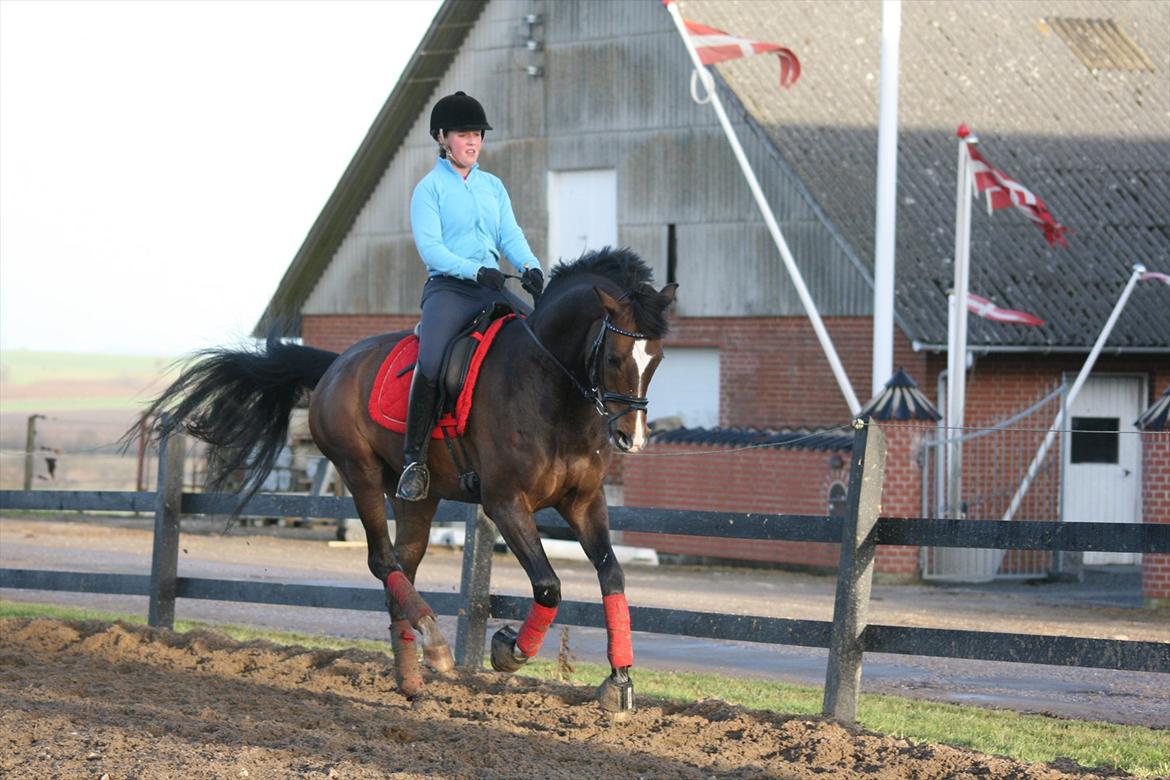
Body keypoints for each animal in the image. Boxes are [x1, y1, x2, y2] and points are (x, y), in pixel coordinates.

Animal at [139, 249, 678, 715]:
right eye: (615, 357)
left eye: (657, 359)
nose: (631, 438)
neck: (551, 390)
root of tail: (337, 363)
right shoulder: (505, 503)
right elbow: (548, 586)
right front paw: (510, 650)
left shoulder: (585, 503)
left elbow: (612, 576)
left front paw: (619, 682)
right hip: (358, 472)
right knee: (383, 560)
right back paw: (435, 646)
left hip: (418, 496)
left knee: (402, 566)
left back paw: (413, 678)